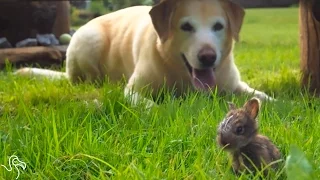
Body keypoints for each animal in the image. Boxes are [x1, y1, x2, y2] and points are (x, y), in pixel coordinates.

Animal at [16, 0, 274, 107]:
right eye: (186, 27)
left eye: (218, 26)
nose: (208, 57)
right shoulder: (134, 91)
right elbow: (151, 106)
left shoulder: (236, 85)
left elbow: (260, 96)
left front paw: (278, 104)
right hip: (90, 40)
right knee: (86, 80)